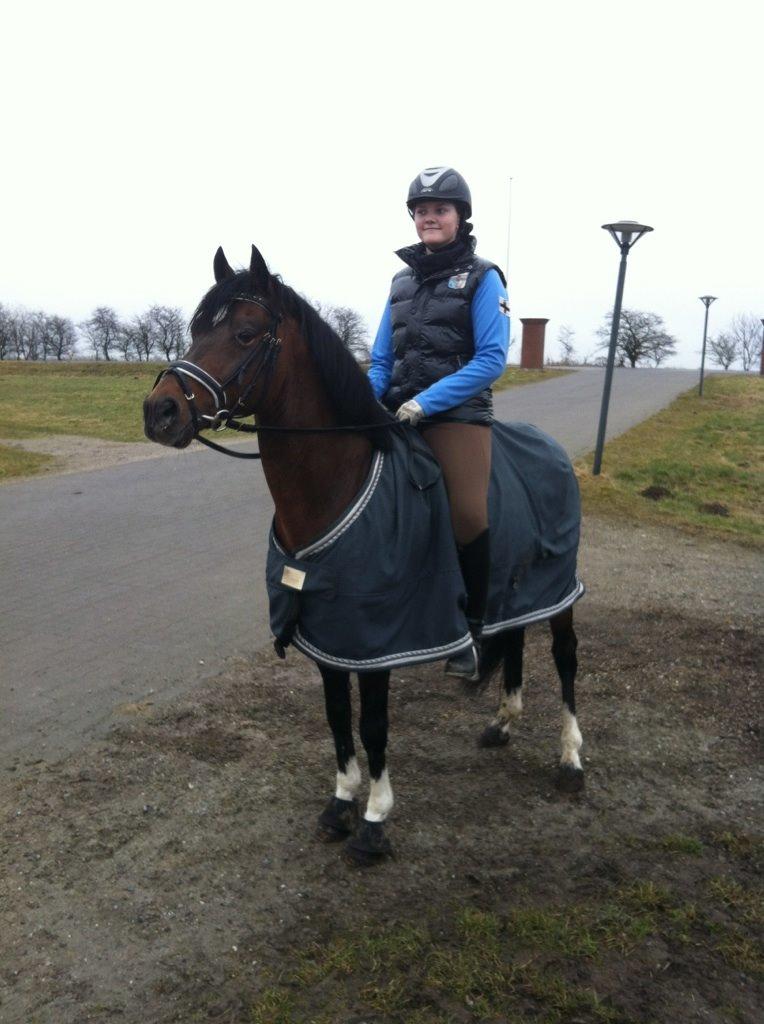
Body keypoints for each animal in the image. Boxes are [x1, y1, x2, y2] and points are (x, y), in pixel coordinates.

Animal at [143, 245, 585, 865]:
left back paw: (570, 758)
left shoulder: (378, 640)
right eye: (195, 329)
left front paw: (375, 818)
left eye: (245, 333)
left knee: (566, 658)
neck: (338, 485)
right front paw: (340, 802)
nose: (159, 413)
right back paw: (502, 724)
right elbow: (336, 719)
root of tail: (550, 446)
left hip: (561, 590)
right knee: (515, 637)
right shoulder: (328, 632)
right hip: (516, 587)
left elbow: (373, 724)